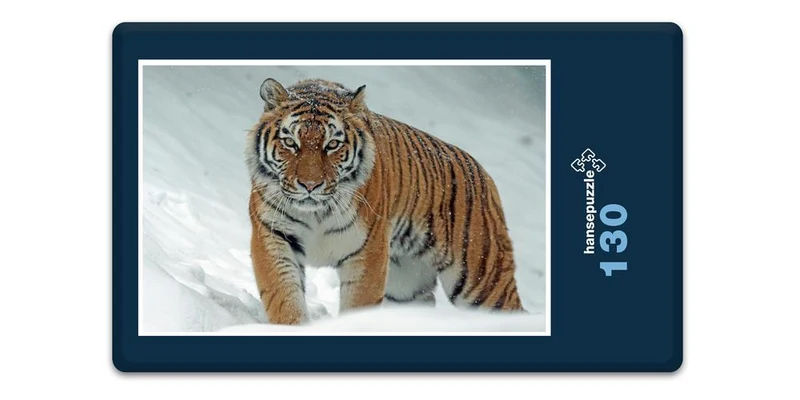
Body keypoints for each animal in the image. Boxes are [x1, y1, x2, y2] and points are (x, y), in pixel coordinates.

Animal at [245, 77, 525, 325]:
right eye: (290, 142)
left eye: (332, 144)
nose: (310, 185)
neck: (316, 213)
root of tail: (485, 175)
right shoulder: (273, 236)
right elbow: (284, 297)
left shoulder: (367, 251)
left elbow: (358, 304)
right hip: (406, 286)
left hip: (482, 280)